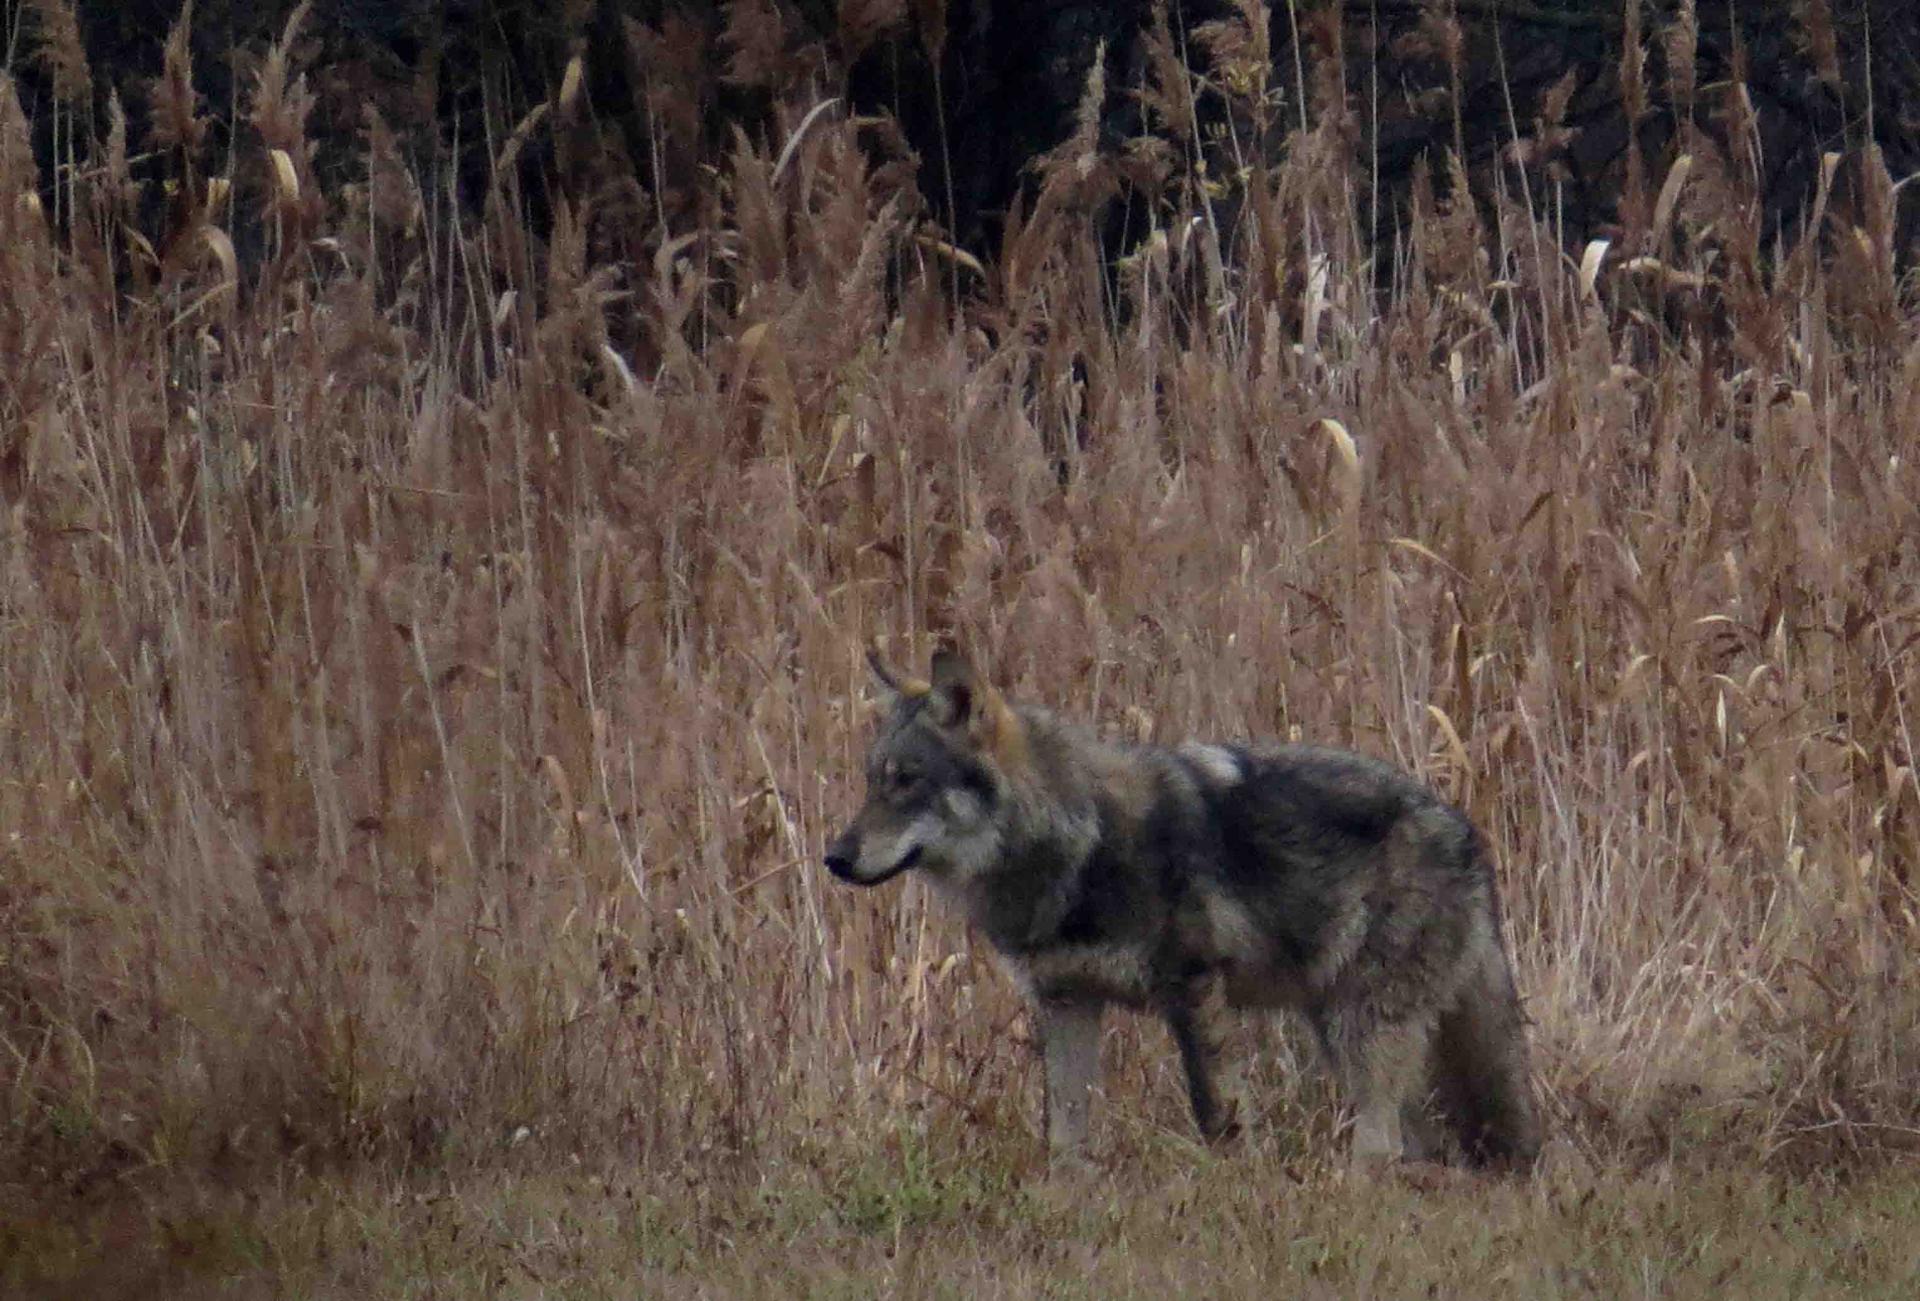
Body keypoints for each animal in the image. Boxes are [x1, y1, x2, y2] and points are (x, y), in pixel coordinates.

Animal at [825, 652, 1543, 1174]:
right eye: (871, 781)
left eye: (907, 781)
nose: (834, 857)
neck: (1075, 843)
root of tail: (1469, 835)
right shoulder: (1067, 1002)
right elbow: (1065, 1135)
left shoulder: (1195, 991)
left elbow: (1217, 1116)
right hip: (1340, 1030)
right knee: (1412, 1142)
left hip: (1360, 1031)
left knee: (1382, 1146)